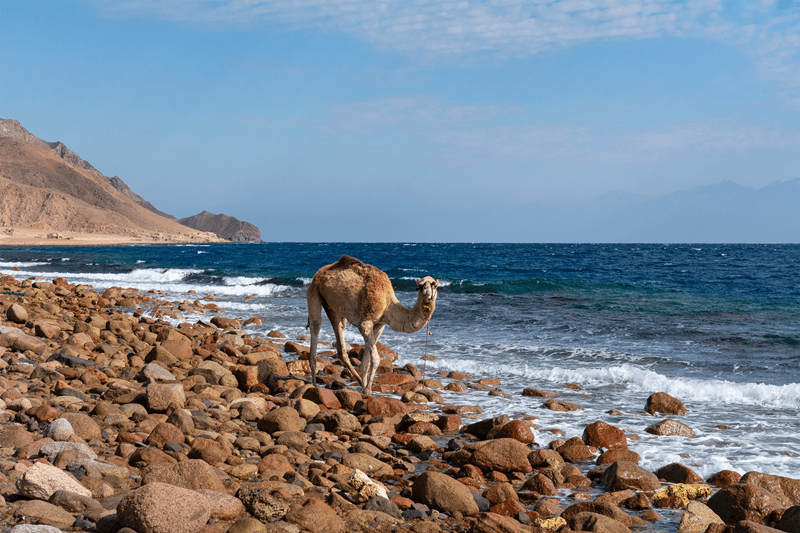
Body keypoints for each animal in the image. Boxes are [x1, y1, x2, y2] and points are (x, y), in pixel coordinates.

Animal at [307, 255, 438, 395]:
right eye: (420, 285)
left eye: (434, 285)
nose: (426, 292)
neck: (388, 303)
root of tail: (321, 271)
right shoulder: (365, 323)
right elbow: (375, 359)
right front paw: (368, 389)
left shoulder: (380, 325)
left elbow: (366, 361)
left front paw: (364, 388)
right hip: (314, 290)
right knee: (316, 324)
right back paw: (314, 385)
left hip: (333, 306)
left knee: (340, 339)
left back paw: (358, 381)